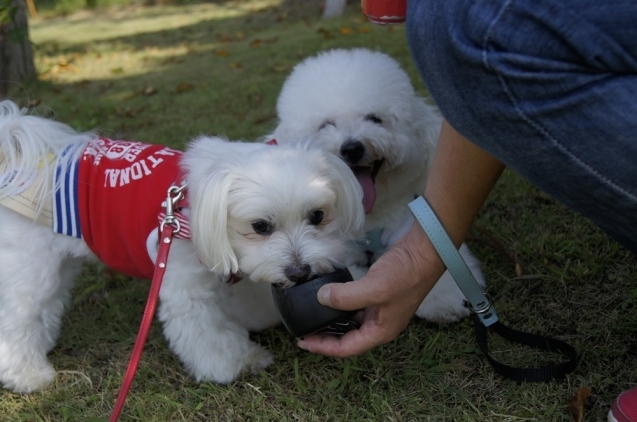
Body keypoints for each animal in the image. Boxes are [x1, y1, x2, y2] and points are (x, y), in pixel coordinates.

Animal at [0, 100, 362, 394]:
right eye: (260, 226)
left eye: (317, 216)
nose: (299, 272)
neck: (193, 202)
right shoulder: (186, 285)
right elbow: (207, 332)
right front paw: (237, 362)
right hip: (32, 267)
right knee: (18, 319)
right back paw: (27, 374)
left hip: (56, 263)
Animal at [266, 47, 484, 324]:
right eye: (325, 125)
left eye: (374, 119)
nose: (352, 148)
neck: (368, 222)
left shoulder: (407, 230)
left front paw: (445, 299)